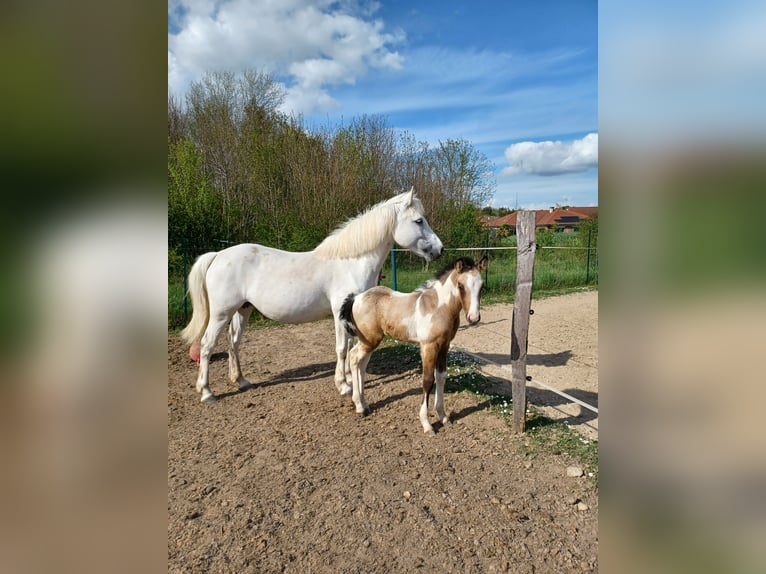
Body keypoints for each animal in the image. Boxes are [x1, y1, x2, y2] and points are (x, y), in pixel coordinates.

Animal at [180, 188, 444, 402]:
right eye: (419, 220)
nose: (439, 250)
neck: (350, 262)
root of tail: (218, 255)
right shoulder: (339, 313)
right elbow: (341, 348)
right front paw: (344, 386)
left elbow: (349, 347)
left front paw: (349, 378)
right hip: (221, 313)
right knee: (207, 346)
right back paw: (207, 392)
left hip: (242, 309)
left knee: (233, 343)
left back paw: (242, 382)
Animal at [340, 255, 488, 435]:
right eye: (460, 285)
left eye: (482, 286)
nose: (474, 318)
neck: (438, 307)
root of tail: (356, 298)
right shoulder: (428, 346)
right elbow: (428, 380)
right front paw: (427, 424)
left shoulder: (444, 346)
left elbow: (441, 377)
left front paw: (443, 416)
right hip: (370, 339)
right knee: (354, 357)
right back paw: (359, 406)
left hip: (368, 340)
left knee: (361, 364)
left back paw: (364, 403)